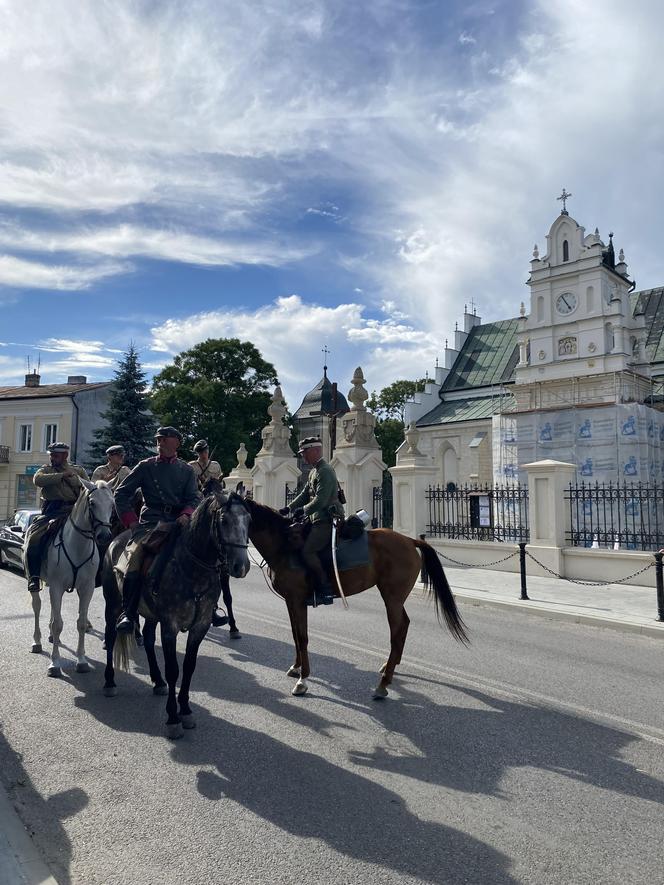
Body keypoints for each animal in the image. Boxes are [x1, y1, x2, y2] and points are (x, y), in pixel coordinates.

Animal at [102, 486, 250, 736]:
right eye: (224, 520)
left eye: (249, 519)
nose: (242, 566)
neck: (192, 570)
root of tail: (116, 540)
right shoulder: (169, 625)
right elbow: (173, 670)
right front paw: (173, 718)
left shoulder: (200, 626)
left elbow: (188, 668)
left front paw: (186, 710)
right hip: (112, 605)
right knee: (111, 636)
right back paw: (110, 681)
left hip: (151, 614)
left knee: (148, 639)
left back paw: (157, 680)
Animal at [243, 498, 466, 696]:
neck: (284, 545)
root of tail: (410, 540)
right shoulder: (290, 601)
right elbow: (295, 635)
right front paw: (296, 667)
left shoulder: (298, 600)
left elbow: (303, 637)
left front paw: (302, 680)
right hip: (394, 597)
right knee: (405, 624)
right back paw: (389, 667)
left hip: (392, 597)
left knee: (398, 629)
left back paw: (383, 683)